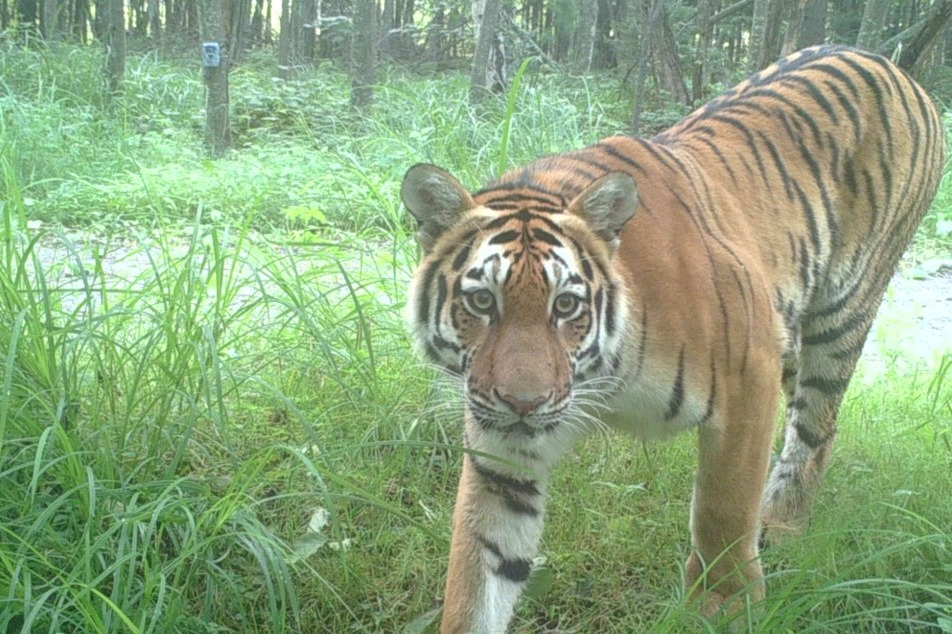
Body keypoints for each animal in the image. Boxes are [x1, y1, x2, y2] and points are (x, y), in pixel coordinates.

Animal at [400, 45, 944, 632]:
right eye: (482, 302)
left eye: (565, 305)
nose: (524, 403)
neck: (603, 378)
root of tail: (888, 64)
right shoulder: (501, 452)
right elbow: (480, 568)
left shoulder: (749, 376)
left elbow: (724, 511)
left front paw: (724, 606)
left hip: (843, 312)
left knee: (816, 426)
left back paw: (782, 525)